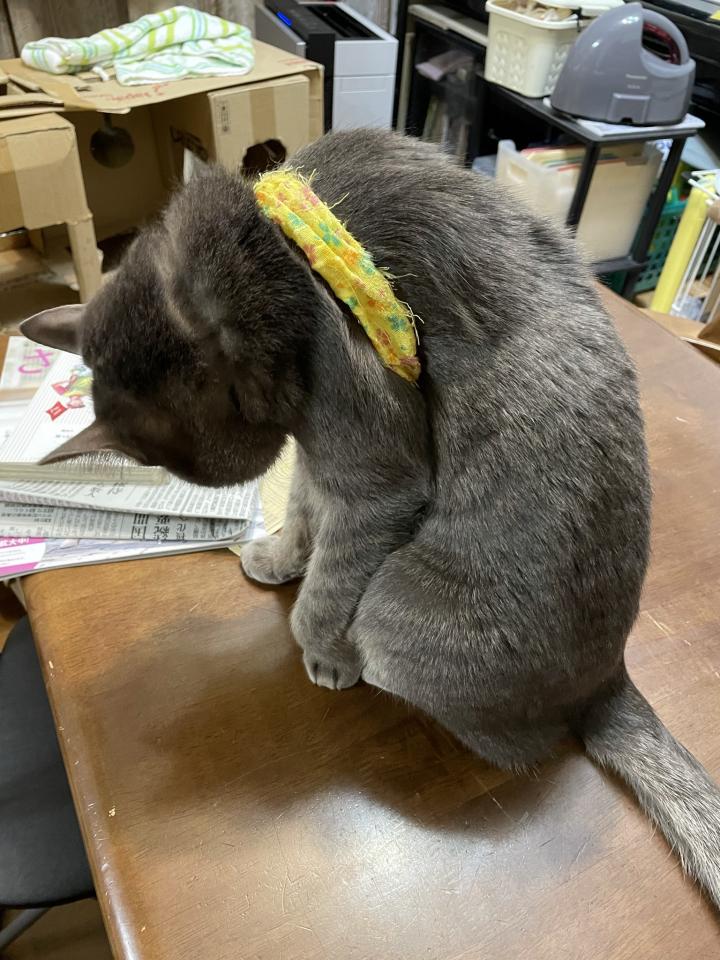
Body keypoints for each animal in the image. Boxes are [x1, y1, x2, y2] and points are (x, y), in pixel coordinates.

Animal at [23, 129, 720, 911]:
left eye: (233, 414)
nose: (261, 433)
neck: (284, 244)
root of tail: (611, 679)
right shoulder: (320, 454)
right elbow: (302, 508)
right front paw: (275, 558)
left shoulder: (373, 466)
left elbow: (329, 580)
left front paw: (321, 650)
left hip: (396, 608)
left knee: (523, 744)